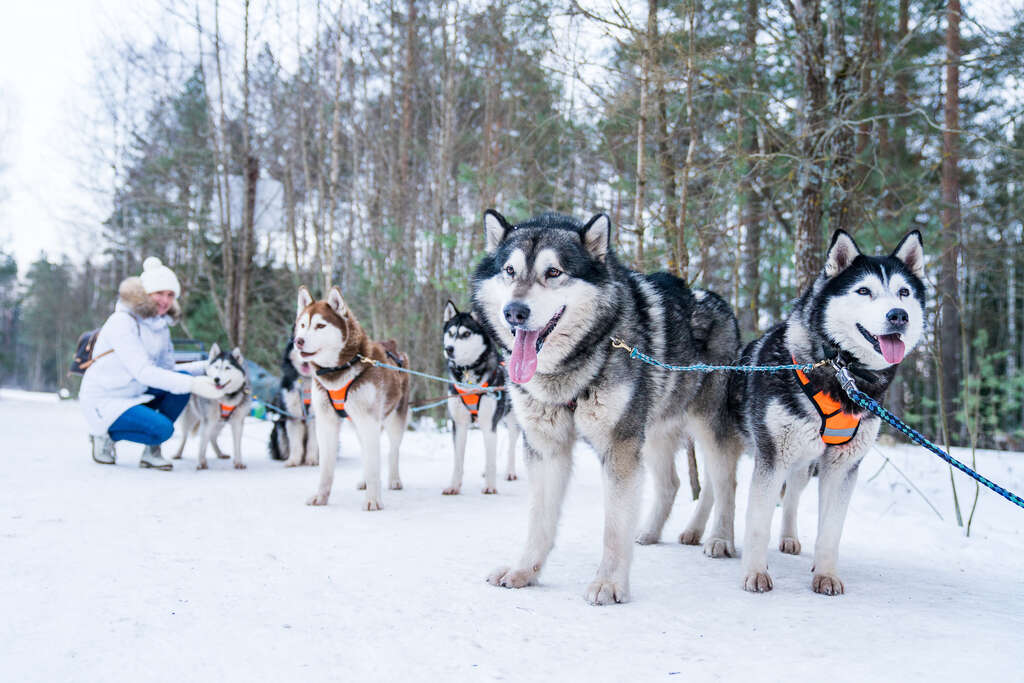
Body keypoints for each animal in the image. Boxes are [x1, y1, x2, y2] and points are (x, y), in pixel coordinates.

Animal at [173, 342, 250, 471]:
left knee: (212, 437)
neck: (225, 397)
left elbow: (237, 446)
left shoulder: (238, 422)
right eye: (217, 367)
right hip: (190, 418)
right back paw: (178, 453)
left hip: (219, 423)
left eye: (227, 368)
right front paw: (200, 463)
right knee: (185, 436)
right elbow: (202, 444)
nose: (216, 379)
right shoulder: (208, 420)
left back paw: (220, 453)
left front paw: (238, 462)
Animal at [294, 286, 409, 509]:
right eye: (302, 325)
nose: (298, 341)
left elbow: (374, 466)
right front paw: (321, 497)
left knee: (392, 451)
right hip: (358, 424)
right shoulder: (326, 422)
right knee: (366, 451)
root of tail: (392, 344)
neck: (338, 371)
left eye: (320, 325)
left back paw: (394, 480)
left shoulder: (369, 420)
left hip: (394, 419)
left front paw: (373, 500)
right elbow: (326, 468)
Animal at [440, 301, 520, 493]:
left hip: (513, 421)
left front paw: (490, 487)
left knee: (511, 445)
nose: (449, 349)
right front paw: (454, 486)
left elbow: (491, 458)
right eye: (451, 333)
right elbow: (458, 461)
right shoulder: (459, 424)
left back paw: (510, 472)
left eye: (466, 334)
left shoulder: (488, 423)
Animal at [471, 209, 745, 602]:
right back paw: (650, 532)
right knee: (672, 483)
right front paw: (524, 571)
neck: (573, 368)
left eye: (553, 272)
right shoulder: (545, 448)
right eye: (509, 270)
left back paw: (721, 538)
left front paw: (609, 583)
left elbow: (614, 526)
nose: (514, 312)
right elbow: (540, 520)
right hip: (654, 434)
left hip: (707, 430)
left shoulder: (619, 447)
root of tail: (718, 302)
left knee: (725, 484)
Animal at [729, 229, 929, 593]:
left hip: (804, 464)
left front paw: (825, 574)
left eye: (904, 292)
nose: (898, 315)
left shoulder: (842, 465)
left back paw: (789, 538)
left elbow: (830, 531)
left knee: (792, 496)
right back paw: (714, 538)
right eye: (863, 290)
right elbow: (757, 523)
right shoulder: (772, 457)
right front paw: (754, 572)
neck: (840, 371)